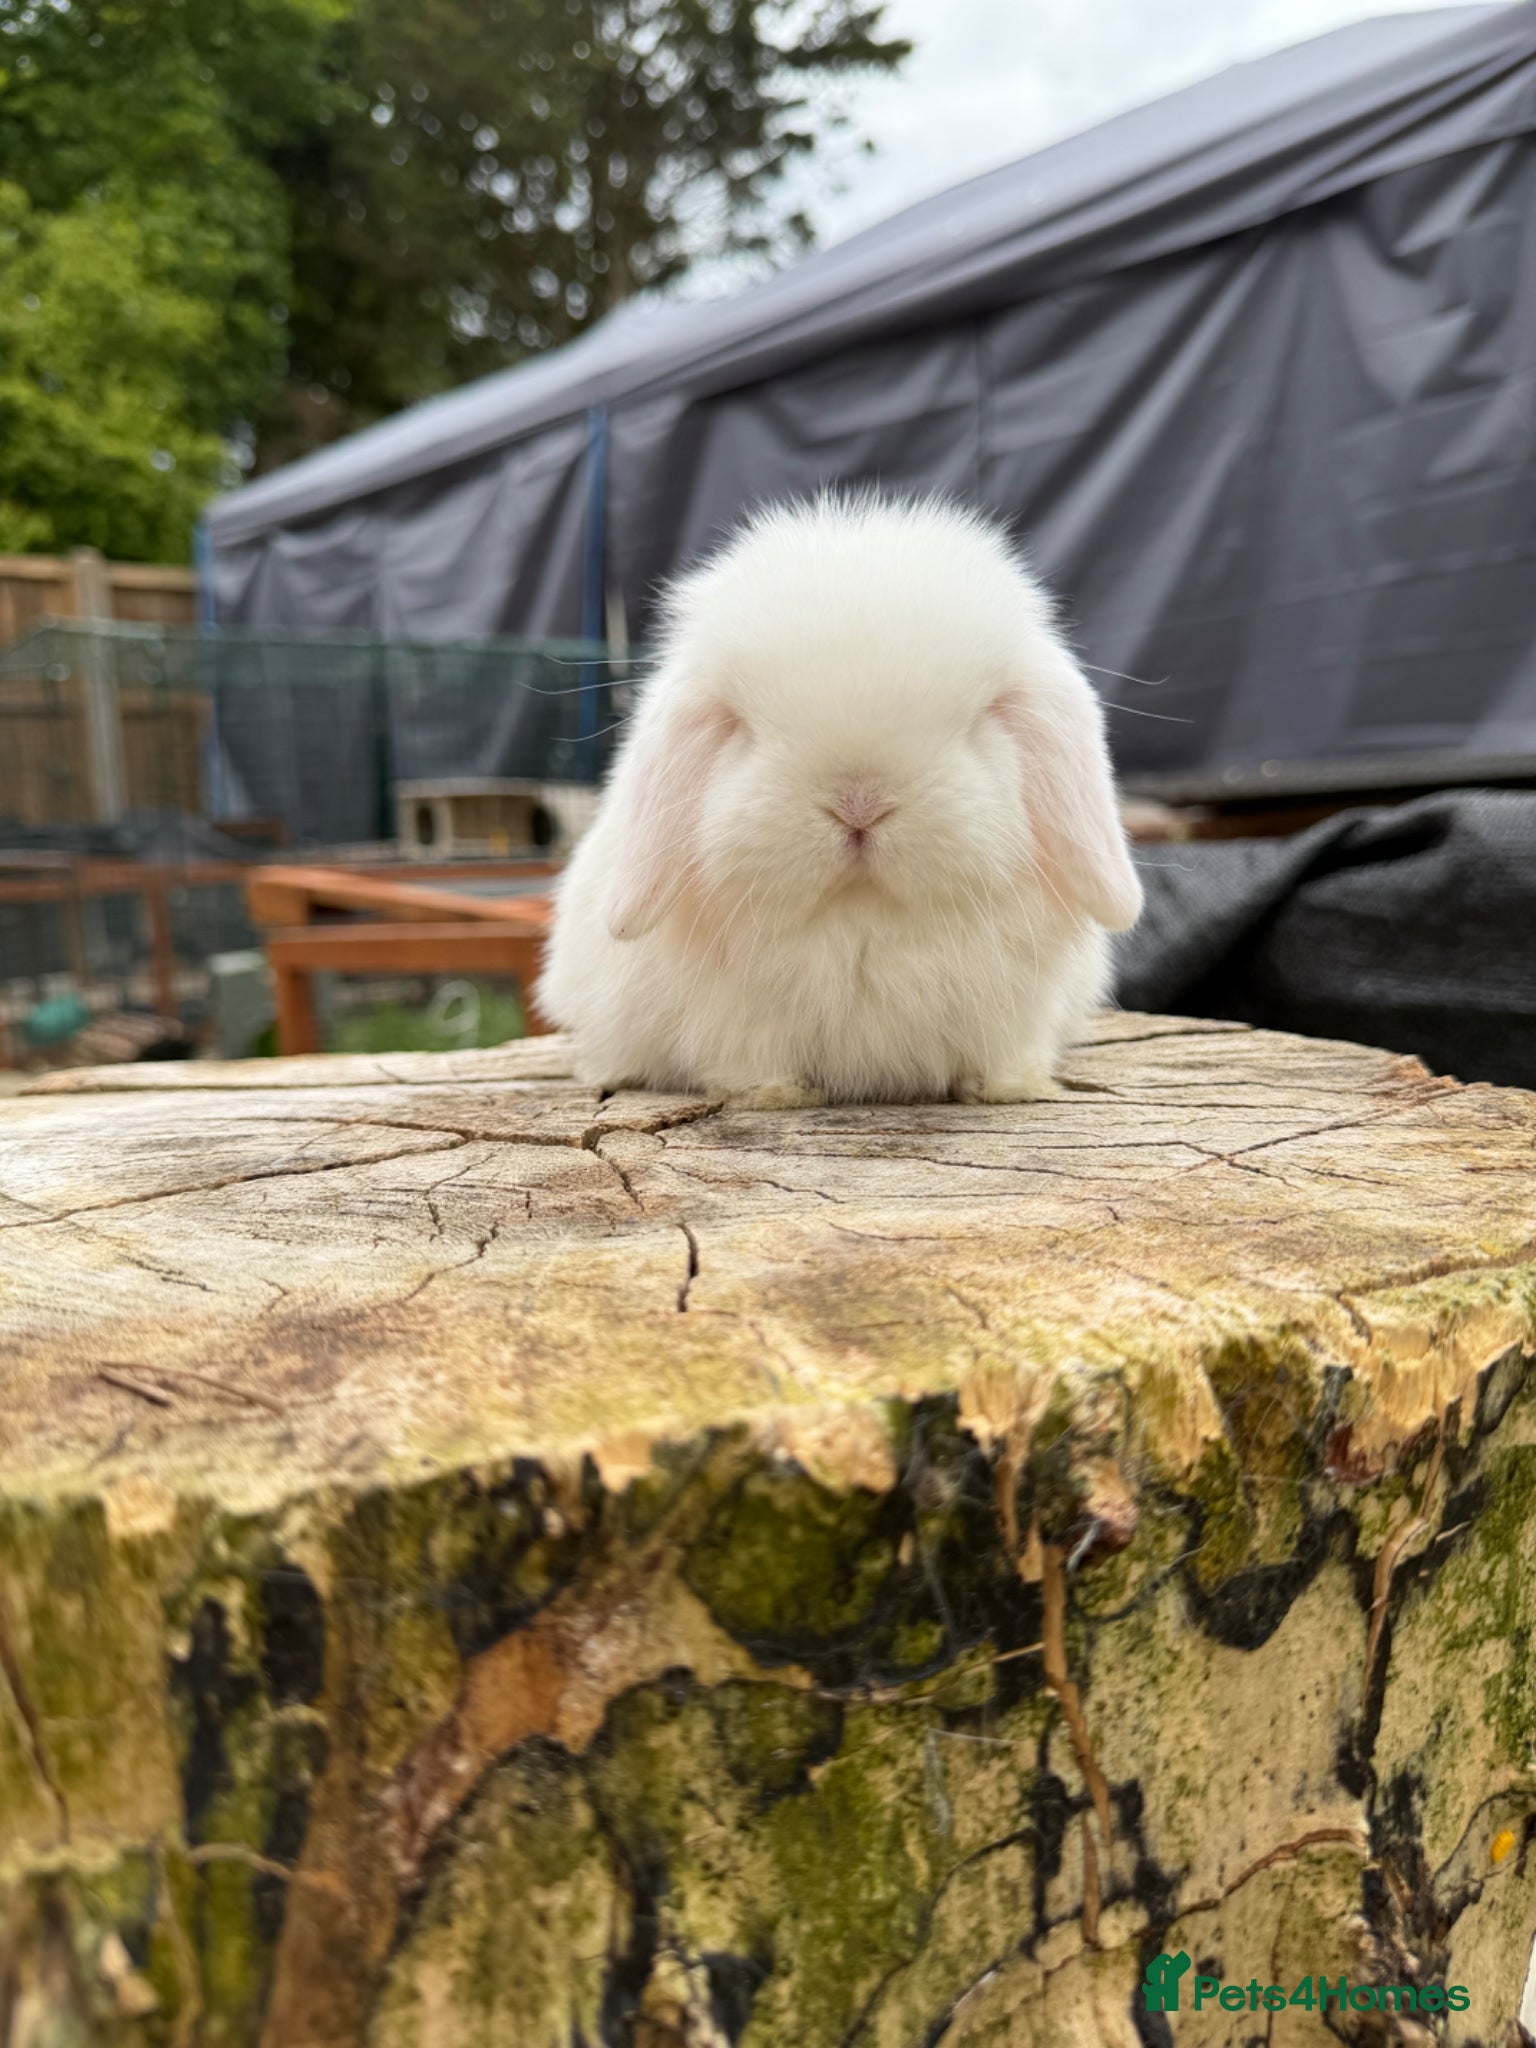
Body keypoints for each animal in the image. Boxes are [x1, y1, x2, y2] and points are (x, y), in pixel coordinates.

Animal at [536, 491, 1143, 1108]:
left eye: (978, 722)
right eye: (743, 729)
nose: (858, 804)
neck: (862, 921)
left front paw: (1008, 1087)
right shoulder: (742, 1023)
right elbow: (752, 1060)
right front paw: (774, 1094)